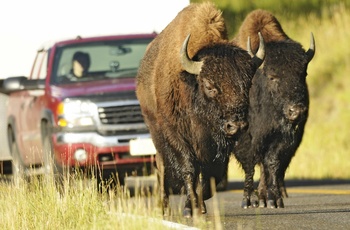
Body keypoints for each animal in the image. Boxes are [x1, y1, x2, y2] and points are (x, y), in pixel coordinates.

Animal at [135, 2, 264, 217]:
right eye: (209, 86)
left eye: (248, 84)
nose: (236, 125)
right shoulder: (176, 134)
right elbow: (188, 168)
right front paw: (189, 208)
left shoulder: (218, 147)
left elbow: (211, 176)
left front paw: (197, 205)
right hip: (156, 132)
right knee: (162, 166)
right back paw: (164, 207)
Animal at [231, 9, 316, 208]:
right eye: (272, 76)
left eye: (304, 73)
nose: (296, 111)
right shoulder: (245, 137)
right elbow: (250, 165)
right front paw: (247, 200)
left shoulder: (282, 139)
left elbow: (272, 164)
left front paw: (272, 199)